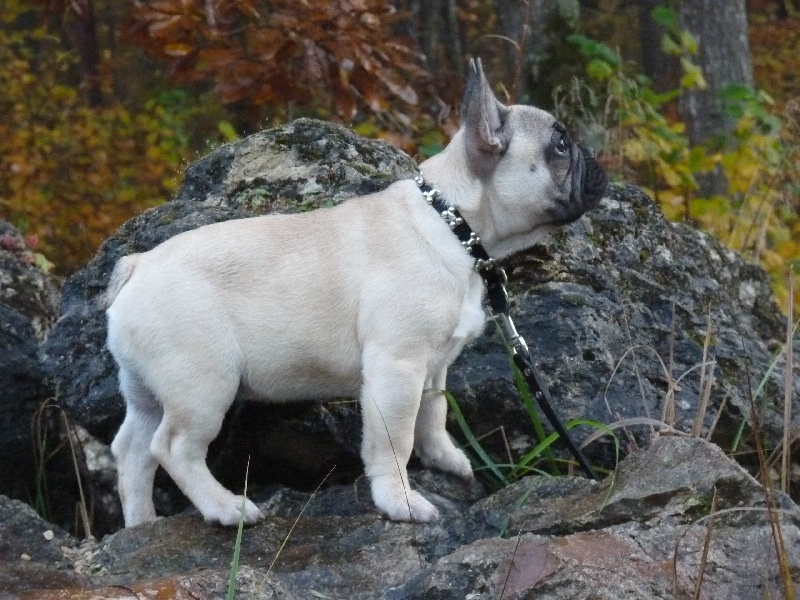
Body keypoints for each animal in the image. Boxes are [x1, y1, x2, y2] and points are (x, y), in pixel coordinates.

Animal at [105, 58, 607, 527]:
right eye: (560, 146)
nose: (596, 158)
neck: (454, 223)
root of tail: (138, 267)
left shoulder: (432, 365)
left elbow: (434, 413)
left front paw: (446, 459)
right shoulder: (397, 368)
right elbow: (396, 439)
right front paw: (400, 500)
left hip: (147, 388)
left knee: (132, 450)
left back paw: (141, 523)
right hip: (203, 383)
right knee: (173, 447)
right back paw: (226, 508)